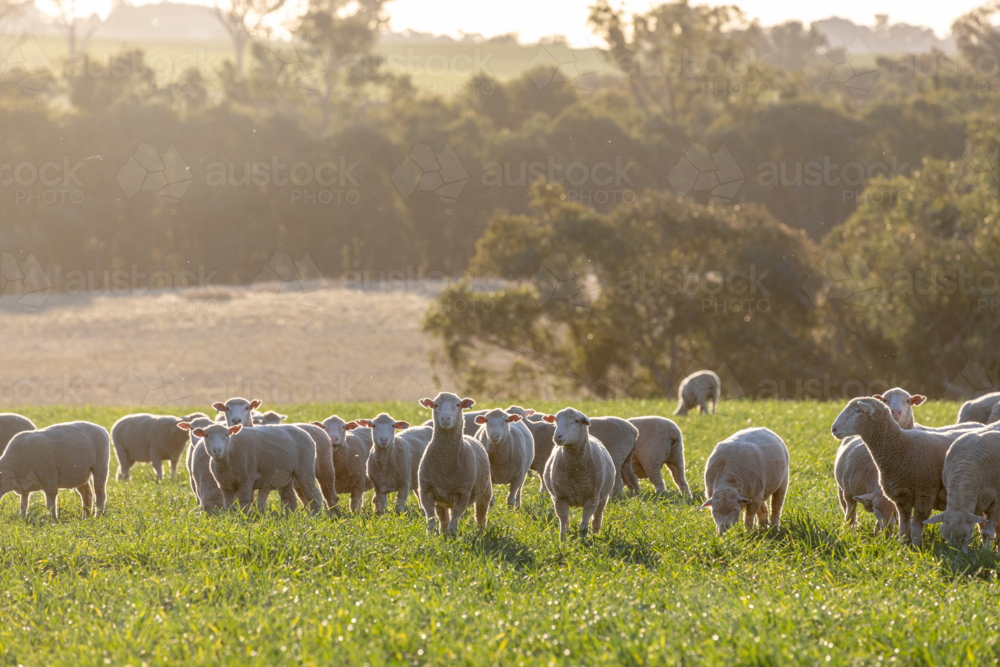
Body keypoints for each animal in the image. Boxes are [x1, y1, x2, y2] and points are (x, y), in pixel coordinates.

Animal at [185, 422, 325, 514]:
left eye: (226, 434)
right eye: (206, 435)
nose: (217, 450)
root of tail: (305, 433)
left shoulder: (246, 481)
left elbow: (243, 503)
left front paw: (242, 520)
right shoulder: (225, 486)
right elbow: (229, 506)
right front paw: (232, 519)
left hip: (305, 470)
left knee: (315, 494)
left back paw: (315, 516)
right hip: (286, 476)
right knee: (289, 499)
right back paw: (289, 517)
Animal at [417, 393, 492, 535]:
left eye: (458, 405)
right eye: (435, 405)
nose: (445, 418)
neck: (446, 463)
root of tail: (469, 436)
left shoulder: (463, 493)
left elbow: (454, 522)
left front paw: (453, 537)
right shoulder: (426, 491)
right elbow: (431, 521)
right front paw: (430, 536)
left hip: (486, 492)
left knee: (480, 514)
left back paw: (481, 532)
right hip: (441, 500)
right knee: (443, 518)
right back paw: (443, 533)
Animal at [541, 408, 615, 540]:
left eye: (576, 421)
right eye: (556, 420)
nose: (557, 436)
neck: (576, 471)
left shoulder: (592, 499)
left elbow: (583, 527)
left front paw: (583, 542)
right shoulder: (560, 498)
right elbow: (564, 527)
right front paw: (563, 542)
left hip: (603, 497)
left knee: (597, 519)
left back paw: (595, 537)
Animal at [831, 397, 962, 546]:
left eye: (857, 411)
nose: (833, 429)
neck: (902, 445)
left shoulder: (924, 497)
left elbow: (915, 528)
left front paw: (915, 548)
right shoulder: (901, 498)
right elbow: (903, 528)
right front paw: (903, 547)